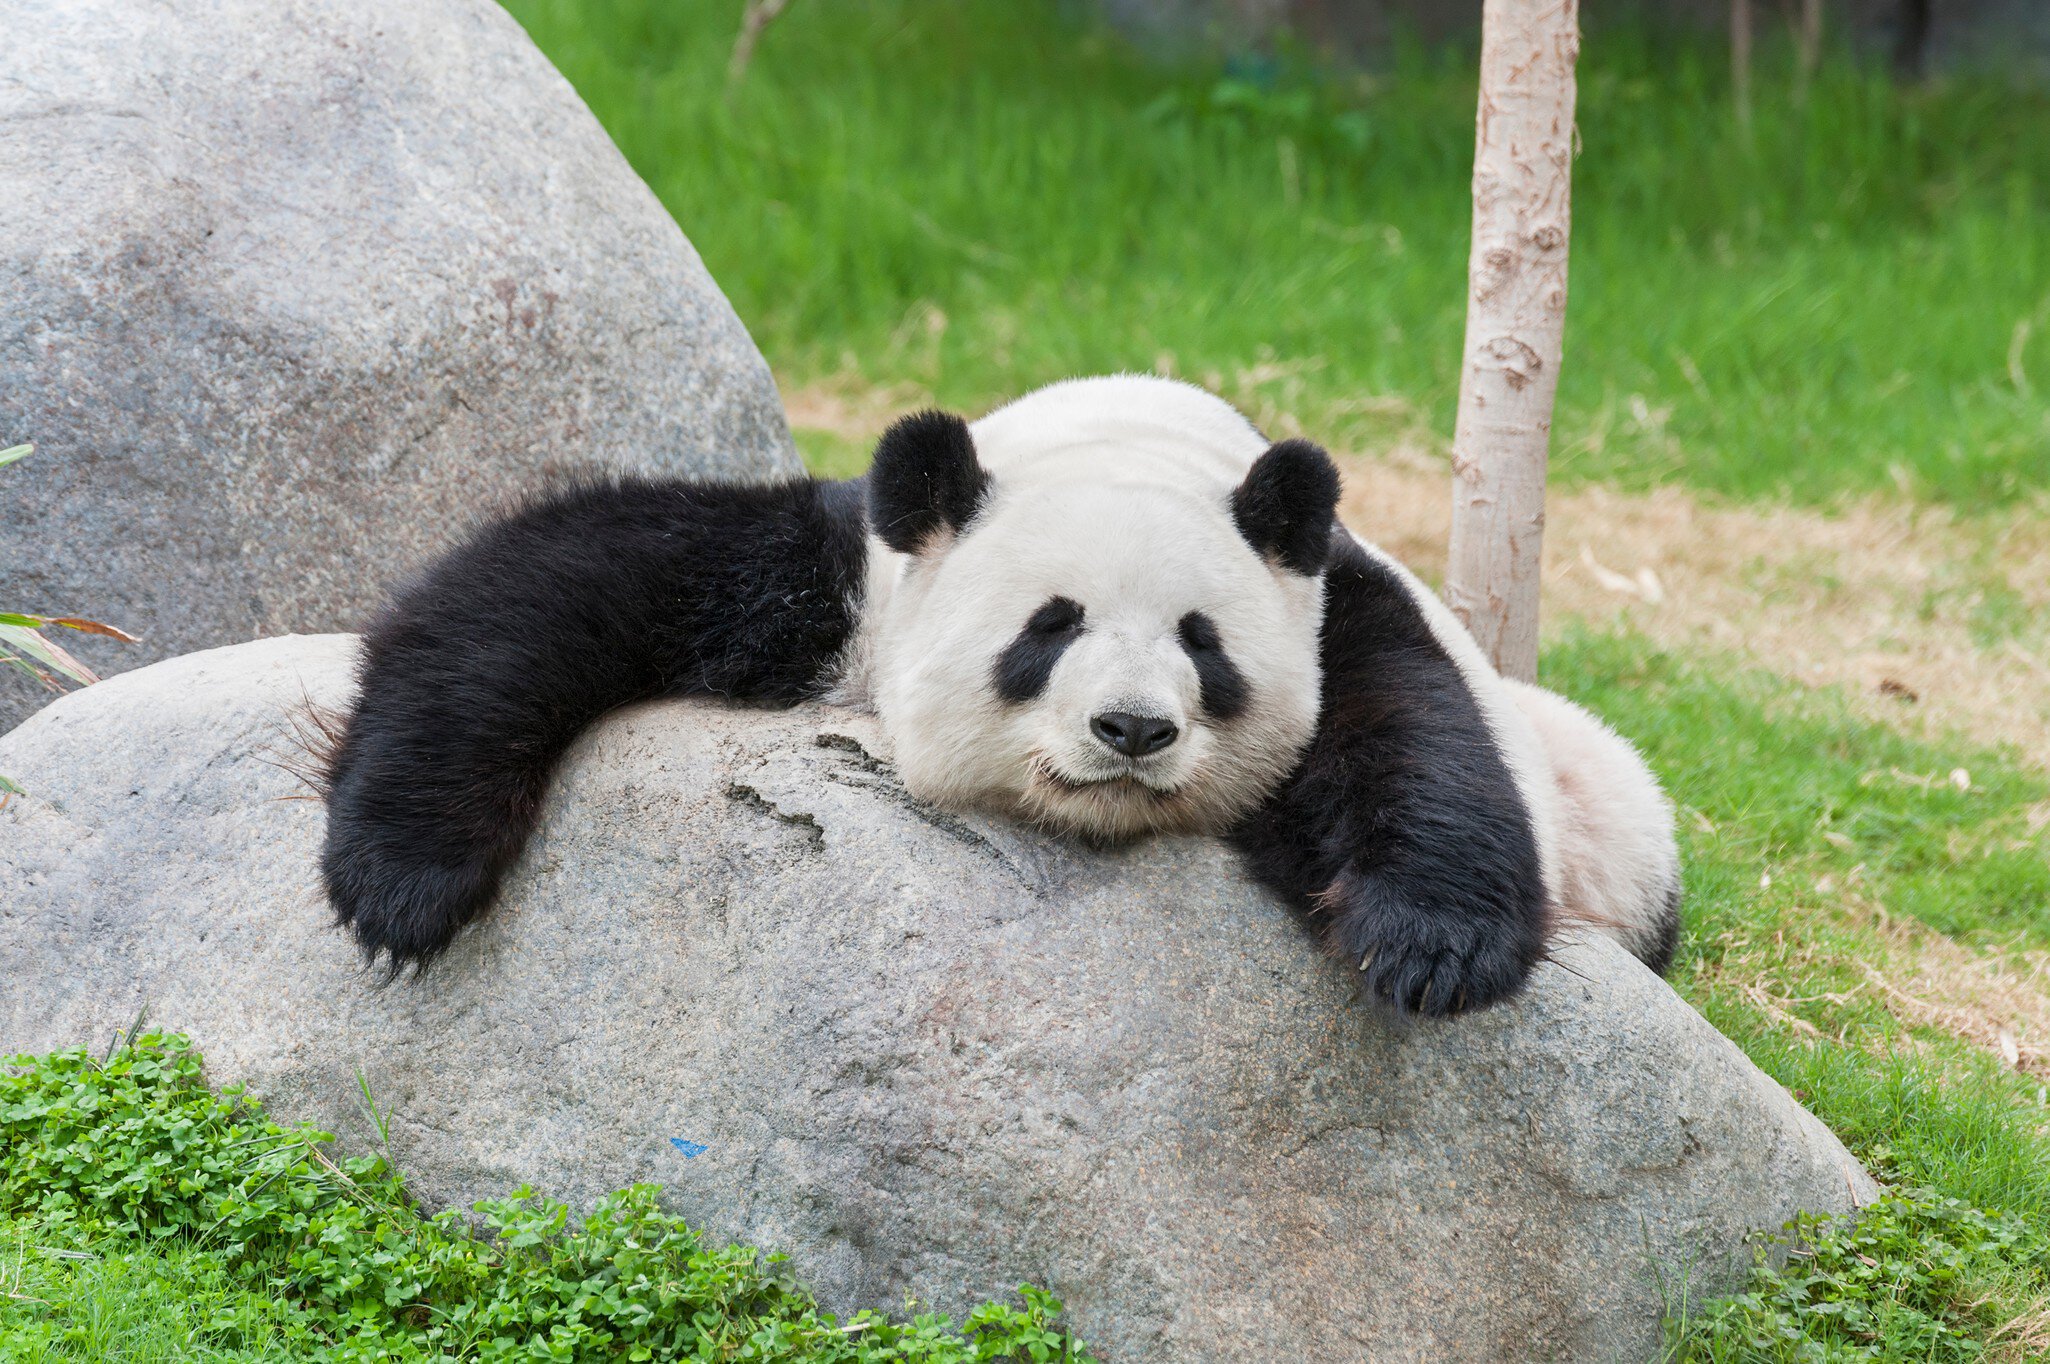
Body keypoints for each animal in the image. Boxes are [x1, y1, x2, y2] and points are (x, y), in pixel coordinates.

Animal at [319, 375, 1680, 1015]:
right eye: (1048, 626)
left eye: (1202, 645)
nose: (1130, 728)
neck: (1133, 432)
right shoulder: (848, 577)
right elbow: (557, 582)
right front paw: (403, 877)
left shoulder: (1337, 599)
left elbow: (1414, 731)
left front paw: (1429, 944)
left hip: (1615, 821)